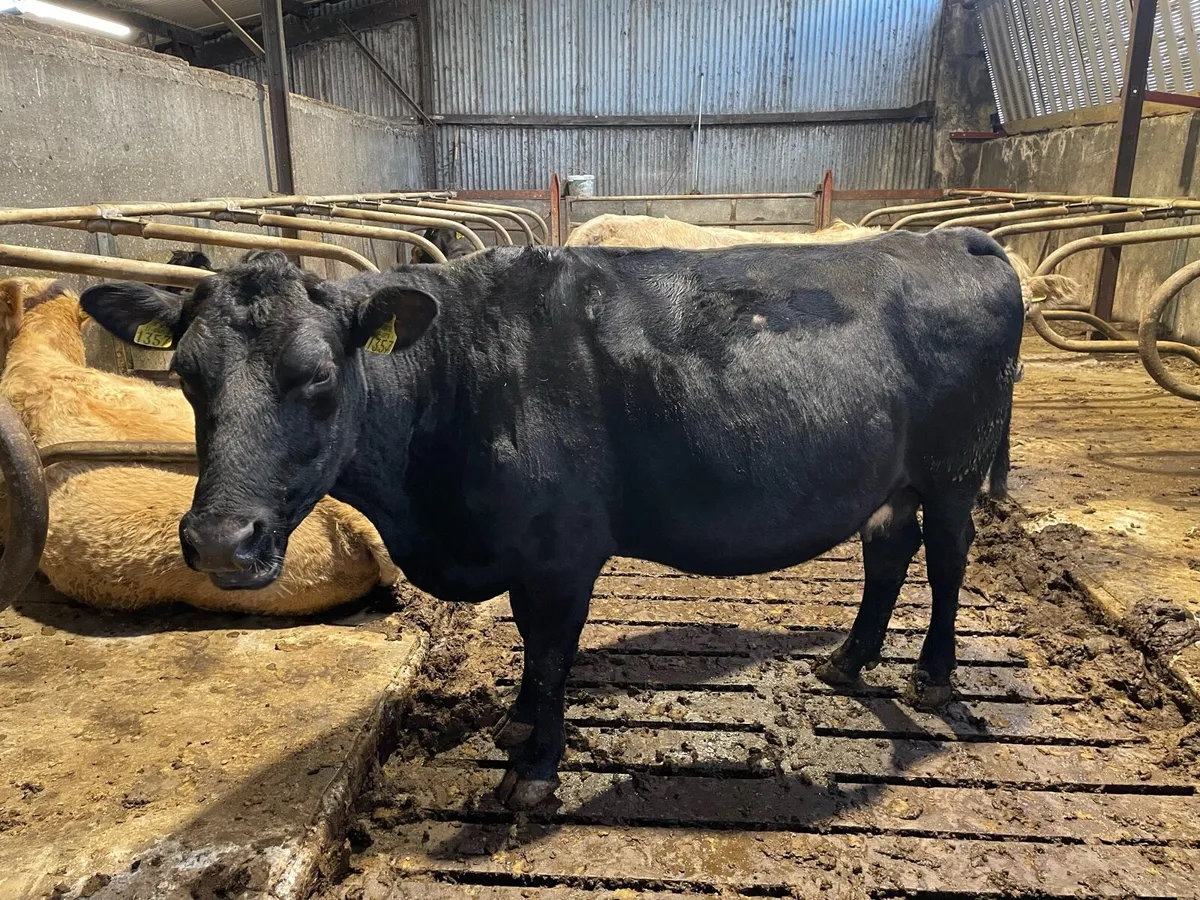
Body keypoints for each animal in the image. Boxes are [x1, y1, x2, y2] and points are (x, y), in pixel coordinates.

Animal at [80, 228, 1024, 811]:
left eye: (316, 374)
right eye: (188, 376)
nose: (219, 541)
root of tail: (953, 239)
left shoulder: (562, 550)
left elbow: (551, 649)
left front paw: (533, 768)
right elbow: (534, 647)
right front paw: (521, 726)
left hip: (954, 466)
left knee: (946, 555)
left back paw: (932, 676)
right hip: (891, 478)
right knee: (889, 549)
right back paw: (848, 661)